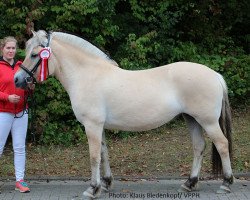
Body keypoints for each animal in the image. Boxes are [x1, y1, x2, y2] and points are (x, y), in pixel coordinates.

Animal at [13, 29, 233, 198]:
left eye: (35, 55)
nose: (18, 80)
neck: (87, 75)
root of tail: (215, 75)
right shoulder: (98, 126)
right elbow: (104, 153)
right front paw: (106, 183)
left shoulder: (92, 125)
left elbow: (94, 156)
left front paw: (93, 189)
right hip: (192, 119)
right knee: (199, 147)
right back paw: (189, 183)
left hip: (208, 121)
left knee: (222, 145)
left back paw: (226, 183)